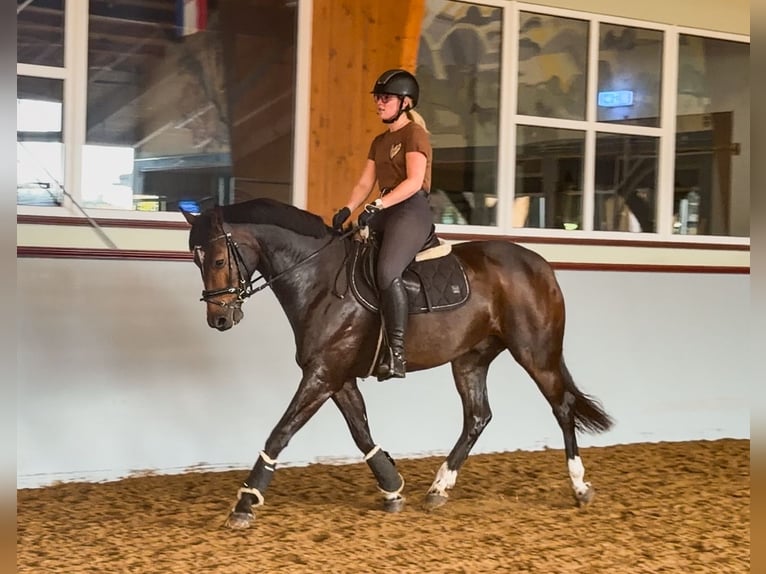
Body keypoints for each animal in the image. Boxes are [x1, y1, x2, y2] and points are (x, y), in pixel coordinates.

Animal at [182, 197, 613, 530]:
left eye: (218, 259)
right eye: (195, 260)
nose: (218, 319)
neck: (319, 278)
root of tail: (540, 264)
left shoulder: (323, 374)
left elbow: (280, 432)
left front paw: (245, 503)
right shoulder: (336, 376)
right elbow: (361, 432)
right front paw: (392, 487)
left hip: (535, 352)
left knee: (562, 407)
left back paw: (580, 487)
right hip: (471, 359)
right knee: (477, 416)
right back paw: (439, 488)